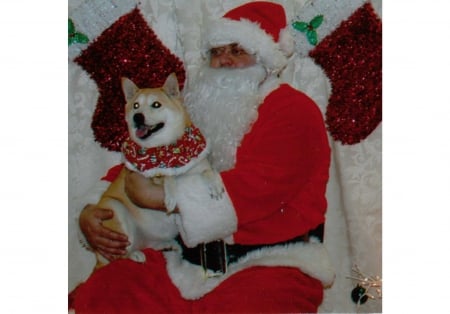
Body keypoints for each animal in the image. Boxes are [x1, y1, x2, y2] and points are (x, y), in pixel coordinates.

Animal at [93, 73, 223, 268]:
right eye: (135, 105)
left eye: (156, 104)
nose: (137, 116)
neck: (169, 148)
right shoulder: (153, 175)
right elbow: (168, 177)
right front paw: (170, 197)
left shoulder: (199, 165)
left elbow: (207, 172)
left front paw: (215, 184)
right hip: (115, 208)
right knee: (118, 256)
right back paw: (134, 254)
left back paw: (166, 245)